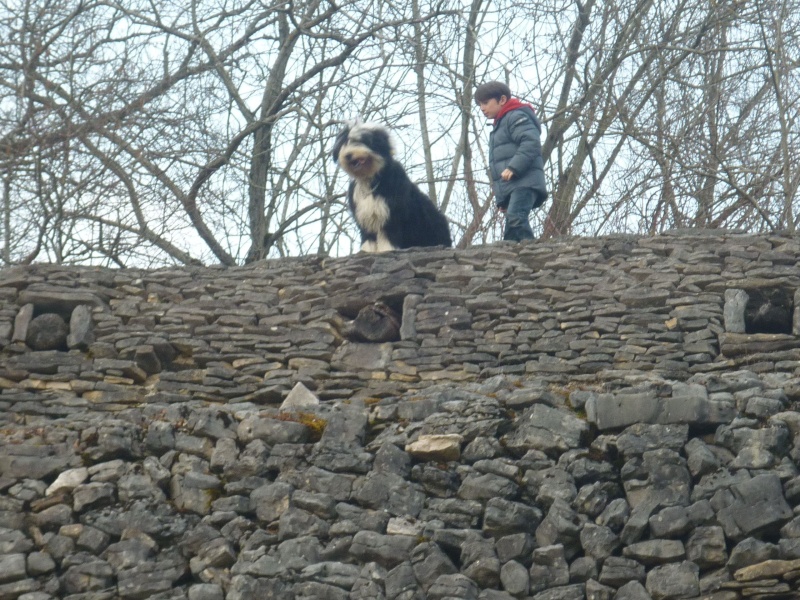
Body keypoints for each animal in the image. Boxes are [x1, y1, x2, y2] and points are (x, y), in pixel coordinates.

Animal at [332, 122, 454, 253]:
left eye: (361, 141)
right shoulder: (365, 220)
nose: (348, 155)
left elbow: (387, 239)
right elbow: (369, 241)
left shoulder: (390, 216)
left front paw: (386, 250)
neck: (370, 180)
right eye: (345, 142)